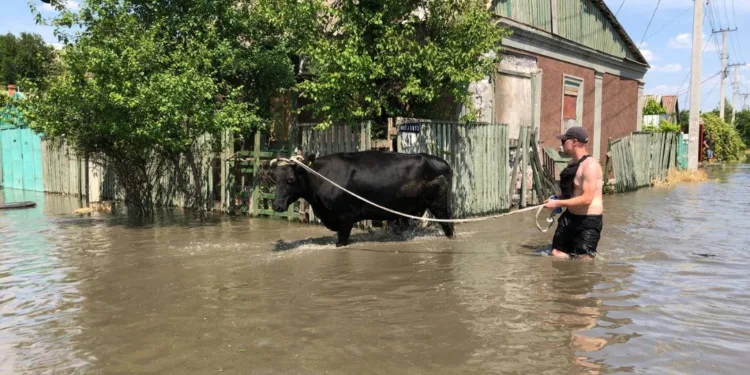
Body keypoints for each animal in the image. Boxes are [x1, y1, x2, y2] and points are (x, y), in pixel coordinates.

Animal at [274, 150, 456, 247]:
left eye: (290, 179)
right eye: (274, 178)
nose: (276, 206)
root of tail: (441, 162)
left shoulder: (345, 218)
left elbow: (341, 241)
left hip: (440, 205)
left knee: (449, 227)